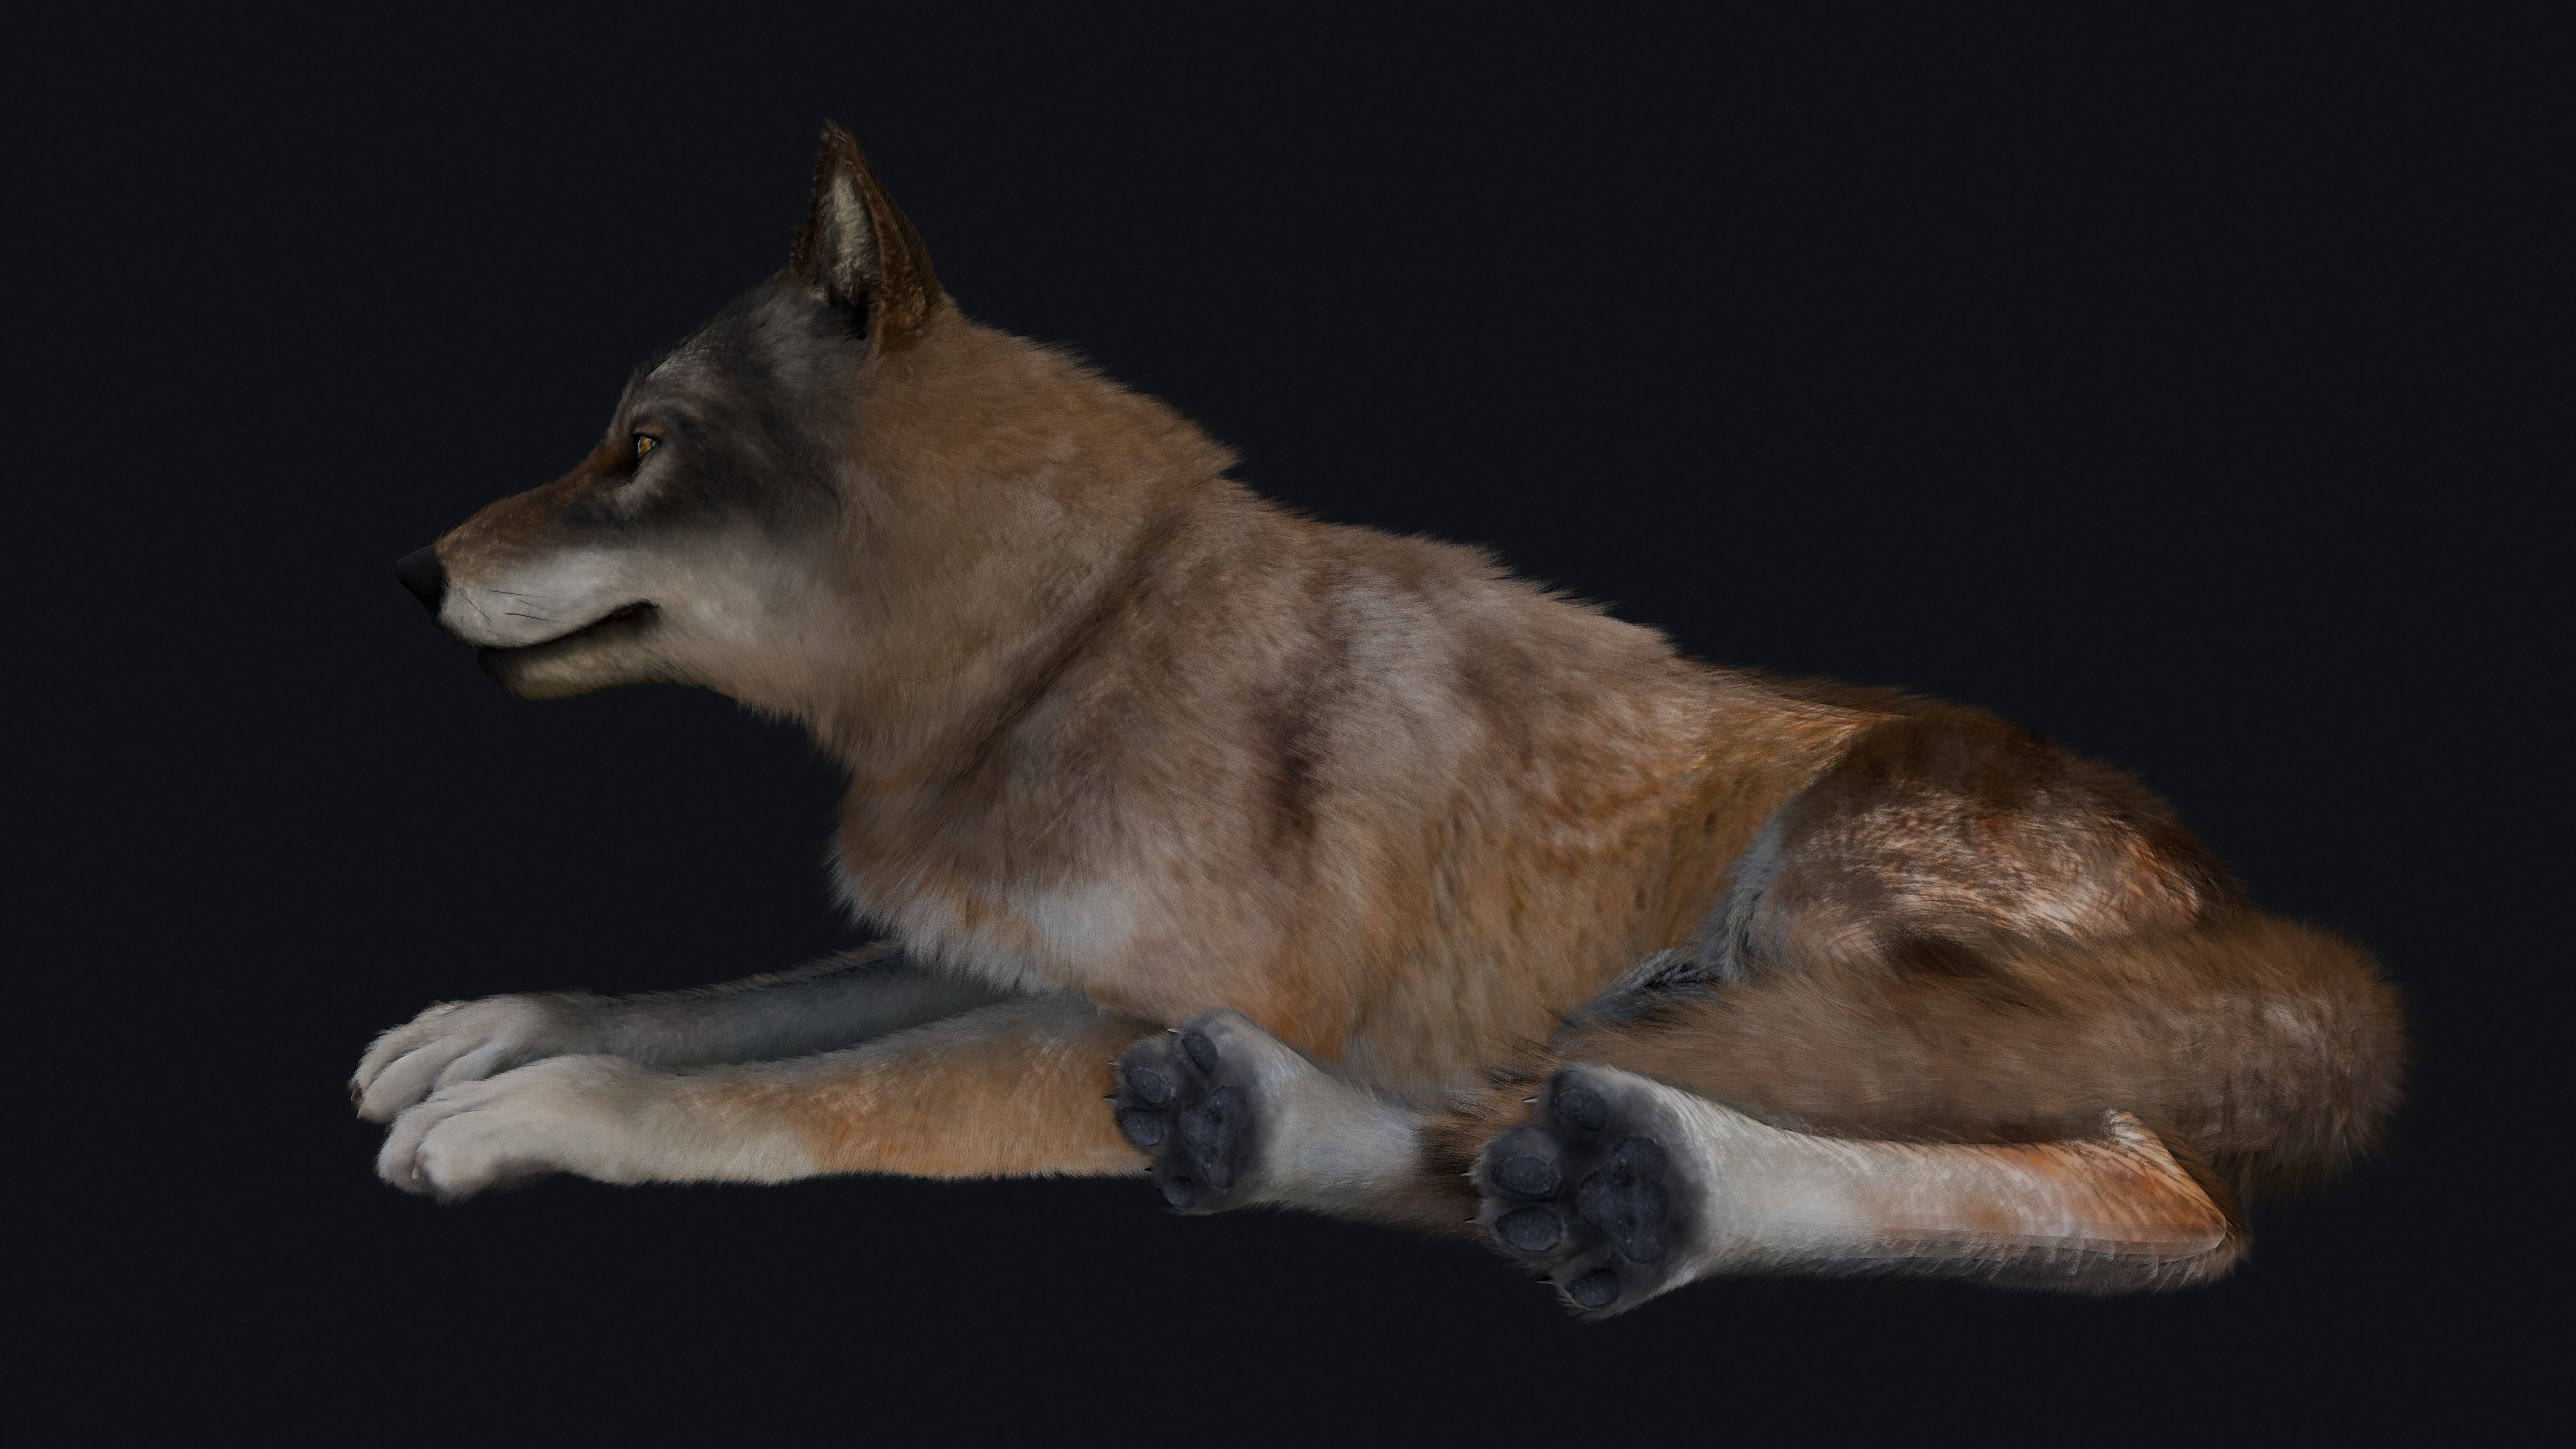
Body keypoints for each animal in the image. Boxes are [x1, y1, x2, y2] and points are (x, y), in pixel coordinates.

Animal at [356, 125, 2405, 1315]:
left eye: (639, 449)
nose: (410, 573)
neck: (1064, 641)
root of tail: (2248, 914)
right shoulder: (1015, 966)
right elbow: (718, 1009)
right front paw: (493, 1032)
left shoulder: (1113, 996)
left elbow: (785, 1090)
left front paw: (535, 1109)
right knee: (1480, 1139)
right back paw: (1318, 1132)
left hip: (1841, 918)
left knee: (2148, 1191)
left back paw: (1652, 1180)